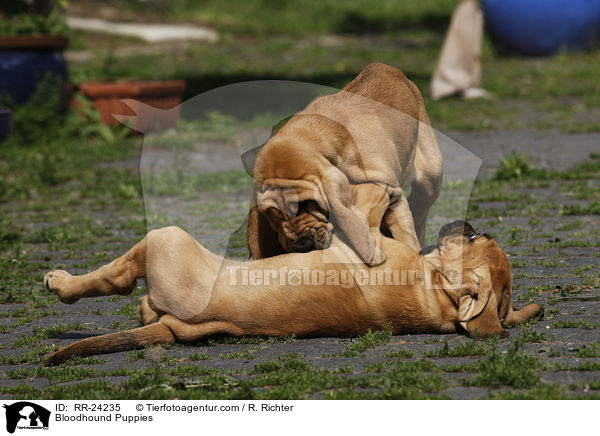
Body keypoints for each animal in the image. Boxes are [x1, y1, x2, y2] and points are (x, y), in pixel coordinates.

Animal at [247, 61, 440, 266]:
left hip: (431, 174)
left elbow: (403, 230)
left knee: (420, 206)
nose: (304, 246)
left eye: (308, 204)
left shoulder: (392, 191)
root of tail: (385, 67)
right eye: (274, 215)